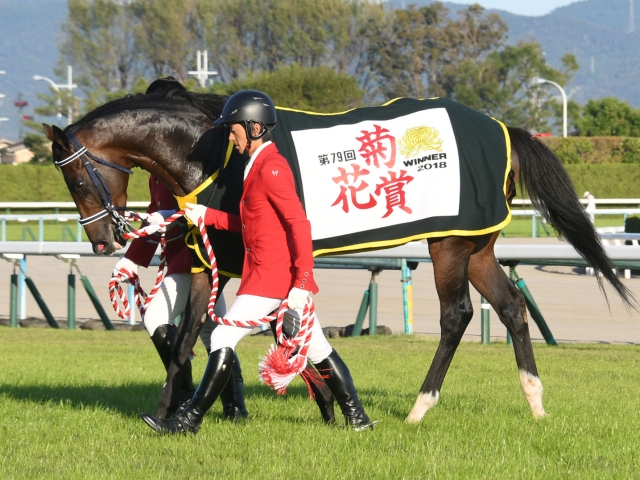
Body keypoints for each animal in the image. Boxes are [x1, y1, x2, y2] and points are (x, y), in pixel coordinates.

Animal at [42, 84, 632, 422]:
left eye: (75, 177)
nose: (103, 240)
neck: (213, 154)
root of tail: (501, 127)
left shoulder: (236, 259)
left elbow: (202, 335)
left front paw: (175, 412)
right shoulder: (217, 260)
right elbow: (196, 335)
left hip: (448, 243)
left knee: (457, 315)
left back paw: (420, 408)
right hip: (478, 244)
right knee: (510, 306)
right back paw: (534, 401)